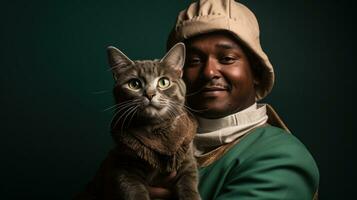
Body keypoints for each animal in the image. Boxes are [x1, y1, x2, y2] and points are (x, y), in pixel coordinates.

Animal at [74, 42, 200, 200]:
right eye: (134, 84)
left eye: (164, 82)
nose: (150, 94)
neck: (155, 130)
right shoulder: (123, 168)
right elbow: (133, 191)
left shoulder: (186, 160)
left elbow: (188, 184)